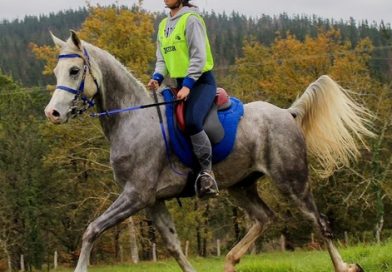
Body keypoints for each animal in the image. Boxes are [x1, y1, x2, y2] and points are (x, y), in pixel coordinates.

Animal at [44, 30, 372, 272]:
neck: (132, 118)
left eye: (75, 70)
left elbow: (92, 229)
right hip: (241, 185)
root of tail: (287, 113)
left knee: (319, 222)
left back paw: (345, 267)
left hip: (292, 181)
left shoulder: (136, 195)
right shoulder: (152, 200)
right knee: (264, 217)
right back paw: (230, 261)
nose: (53, 113)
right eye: (56, 71)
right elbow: (174, 247)